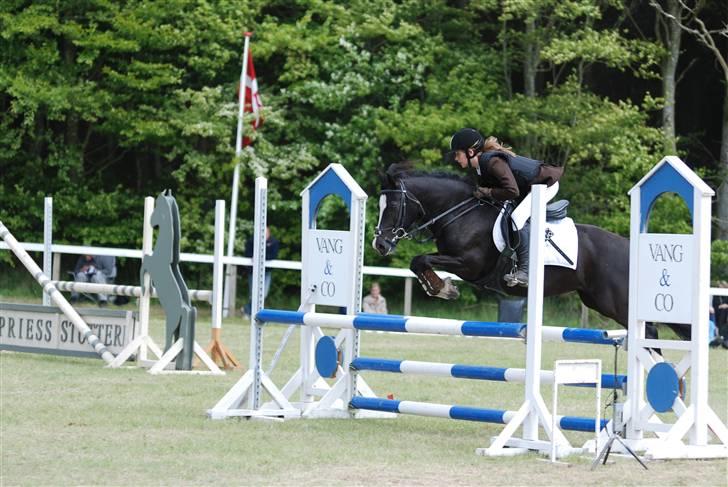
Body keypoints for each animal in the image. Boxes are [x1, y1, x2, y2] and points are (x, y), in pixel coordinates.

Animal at [372, 162, 692, 342]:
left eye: (393, 206)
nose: (380, 244)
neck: (459, 212)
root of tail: (629, 248)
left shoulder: (470, 264)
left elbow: (421, 258)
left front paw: (442, 288)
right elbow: (418, 262)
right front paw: (440, 287)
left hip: (616, 301)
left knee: (649, 332)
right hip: (596, 299)